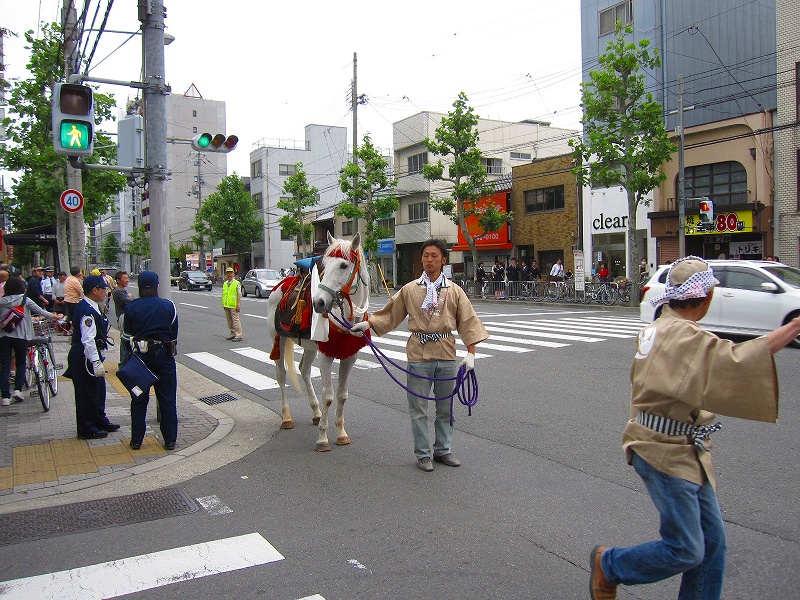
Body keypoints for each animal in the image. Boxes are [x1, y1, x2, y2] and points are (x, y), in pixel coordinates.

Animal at [266, 232, 372, 452]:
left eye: (343, 265)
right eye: (325, 264)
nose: (319, 302)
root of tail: (280, 285)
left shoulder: (349, 356)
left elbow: (342, 395)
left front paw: (341, 433)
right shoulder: (326, 355)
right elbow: (329, 396)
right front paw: (323, 437)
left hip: (310, 346)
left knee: (304, 370)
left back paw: (315, 413)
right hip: (278, 338)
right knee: (281, 375)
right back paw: (286, 417)